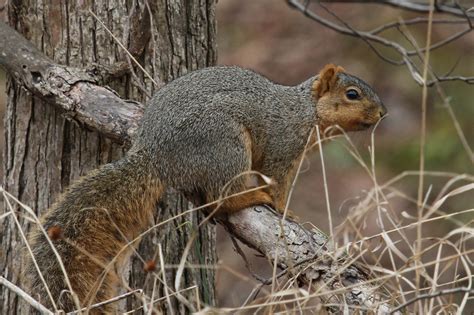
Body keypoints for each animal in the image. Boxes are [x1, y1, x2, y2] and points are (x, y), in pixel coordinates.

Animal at [25, 64, 386, 314]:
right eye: (352, 94)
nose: (383, 113)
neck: (306, 111)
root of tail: (156, 155)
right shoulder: (282, 148)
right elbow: (276, 183)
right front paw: (287, 210)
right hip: (225, 144)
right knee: (221, 200)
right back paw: (250, 196)